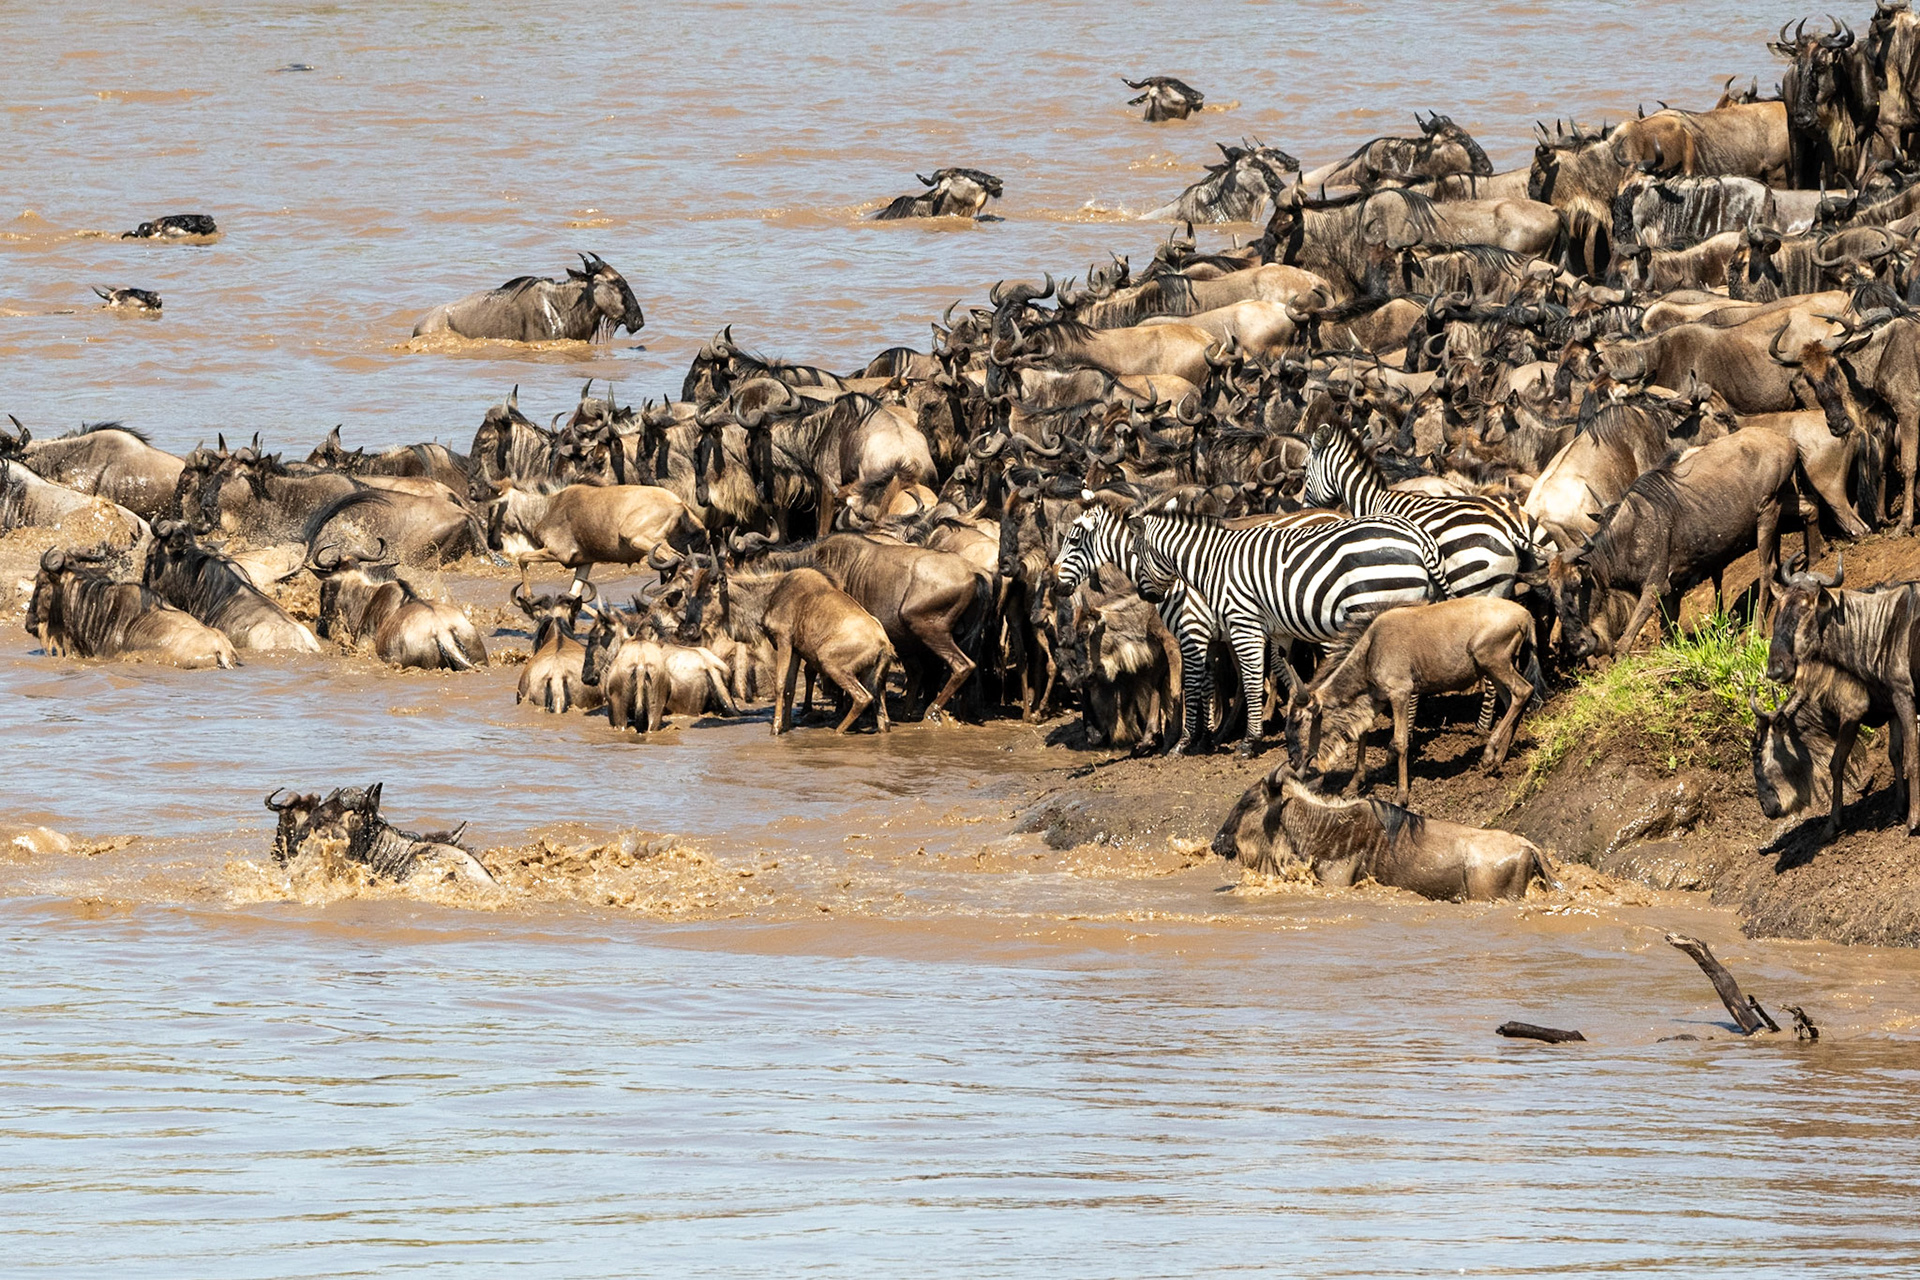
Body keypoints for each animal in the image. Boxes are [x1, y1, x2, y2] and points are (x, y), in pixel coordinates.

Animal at [1054, 499, 1339, 752]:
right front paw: (1203, 736)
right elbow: (1201, 685)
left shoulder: (1182, 636)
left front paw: (1177, 740)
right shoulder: (1206, 637)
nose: (1055, 584)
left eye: (1074, 541)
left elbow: (1179, 687)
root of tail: (1336, 514)